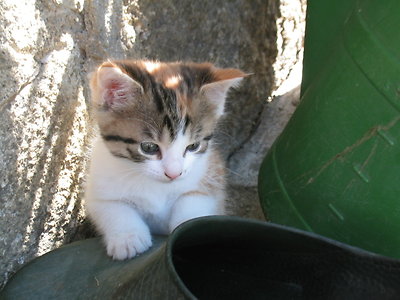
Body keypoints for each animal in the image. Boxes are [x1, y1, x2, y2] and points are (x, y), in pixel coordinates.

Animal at [86, 59, 245, 258]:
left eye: (193, 146)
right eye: (149, 147)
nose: (174, 174)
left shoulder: (210, 177)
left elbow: (194, 201)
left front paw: (188, 231)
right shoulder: (98, 188)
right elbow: (113, 207)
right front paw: (128, 238)